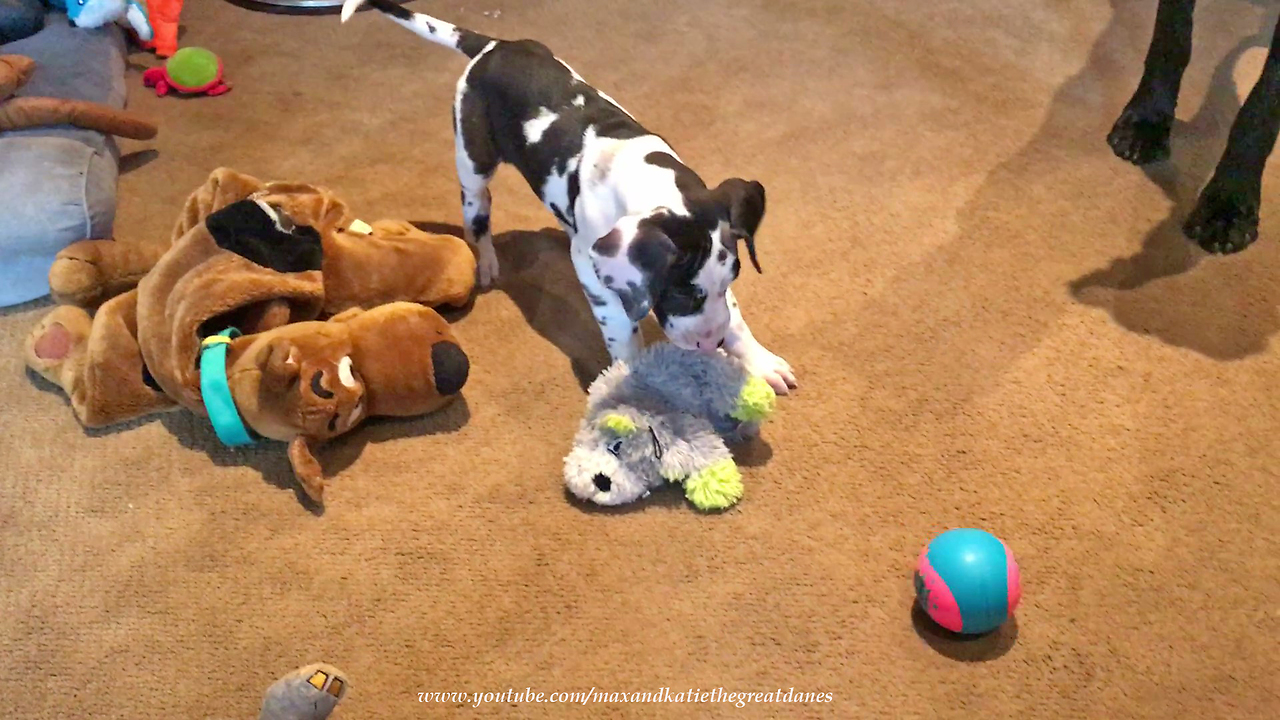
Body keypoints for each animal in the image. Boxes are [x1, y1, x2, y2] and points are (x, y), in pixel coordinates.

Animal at [340, 0, 798, 392]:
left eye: (731, 279)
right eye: (682, 293)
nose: (711, 343)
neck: (643, 176)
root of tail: (492, 46)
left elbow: (735, 315)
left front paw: (758, 359)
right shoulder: (593, 274)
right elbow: (620, 327)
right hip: (473, 162)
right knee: (477, 215)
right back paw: (486, 260)